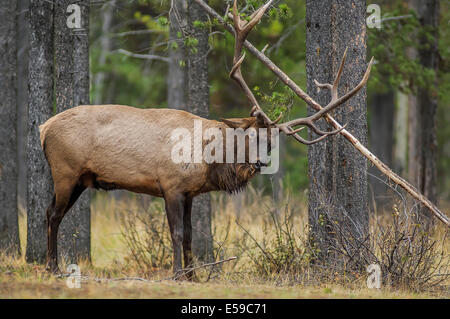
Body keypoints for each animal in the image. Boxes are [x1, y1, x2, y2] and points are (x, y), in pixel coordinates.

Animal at [41, 0, 372, 276]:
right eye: (250, 135)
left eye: (272, 141)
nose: (259, 163)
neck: (208, 160)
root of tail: (44, 128)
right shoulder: (170, 185)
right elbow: (176, 233)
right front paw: (177, 274)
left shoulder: (189, 193)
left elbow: (189, 235)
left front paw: (193, 275)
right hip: (65, 171)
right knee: (52, 214)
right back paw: (52, 267)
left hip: (81, 179)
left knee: (50, 212)